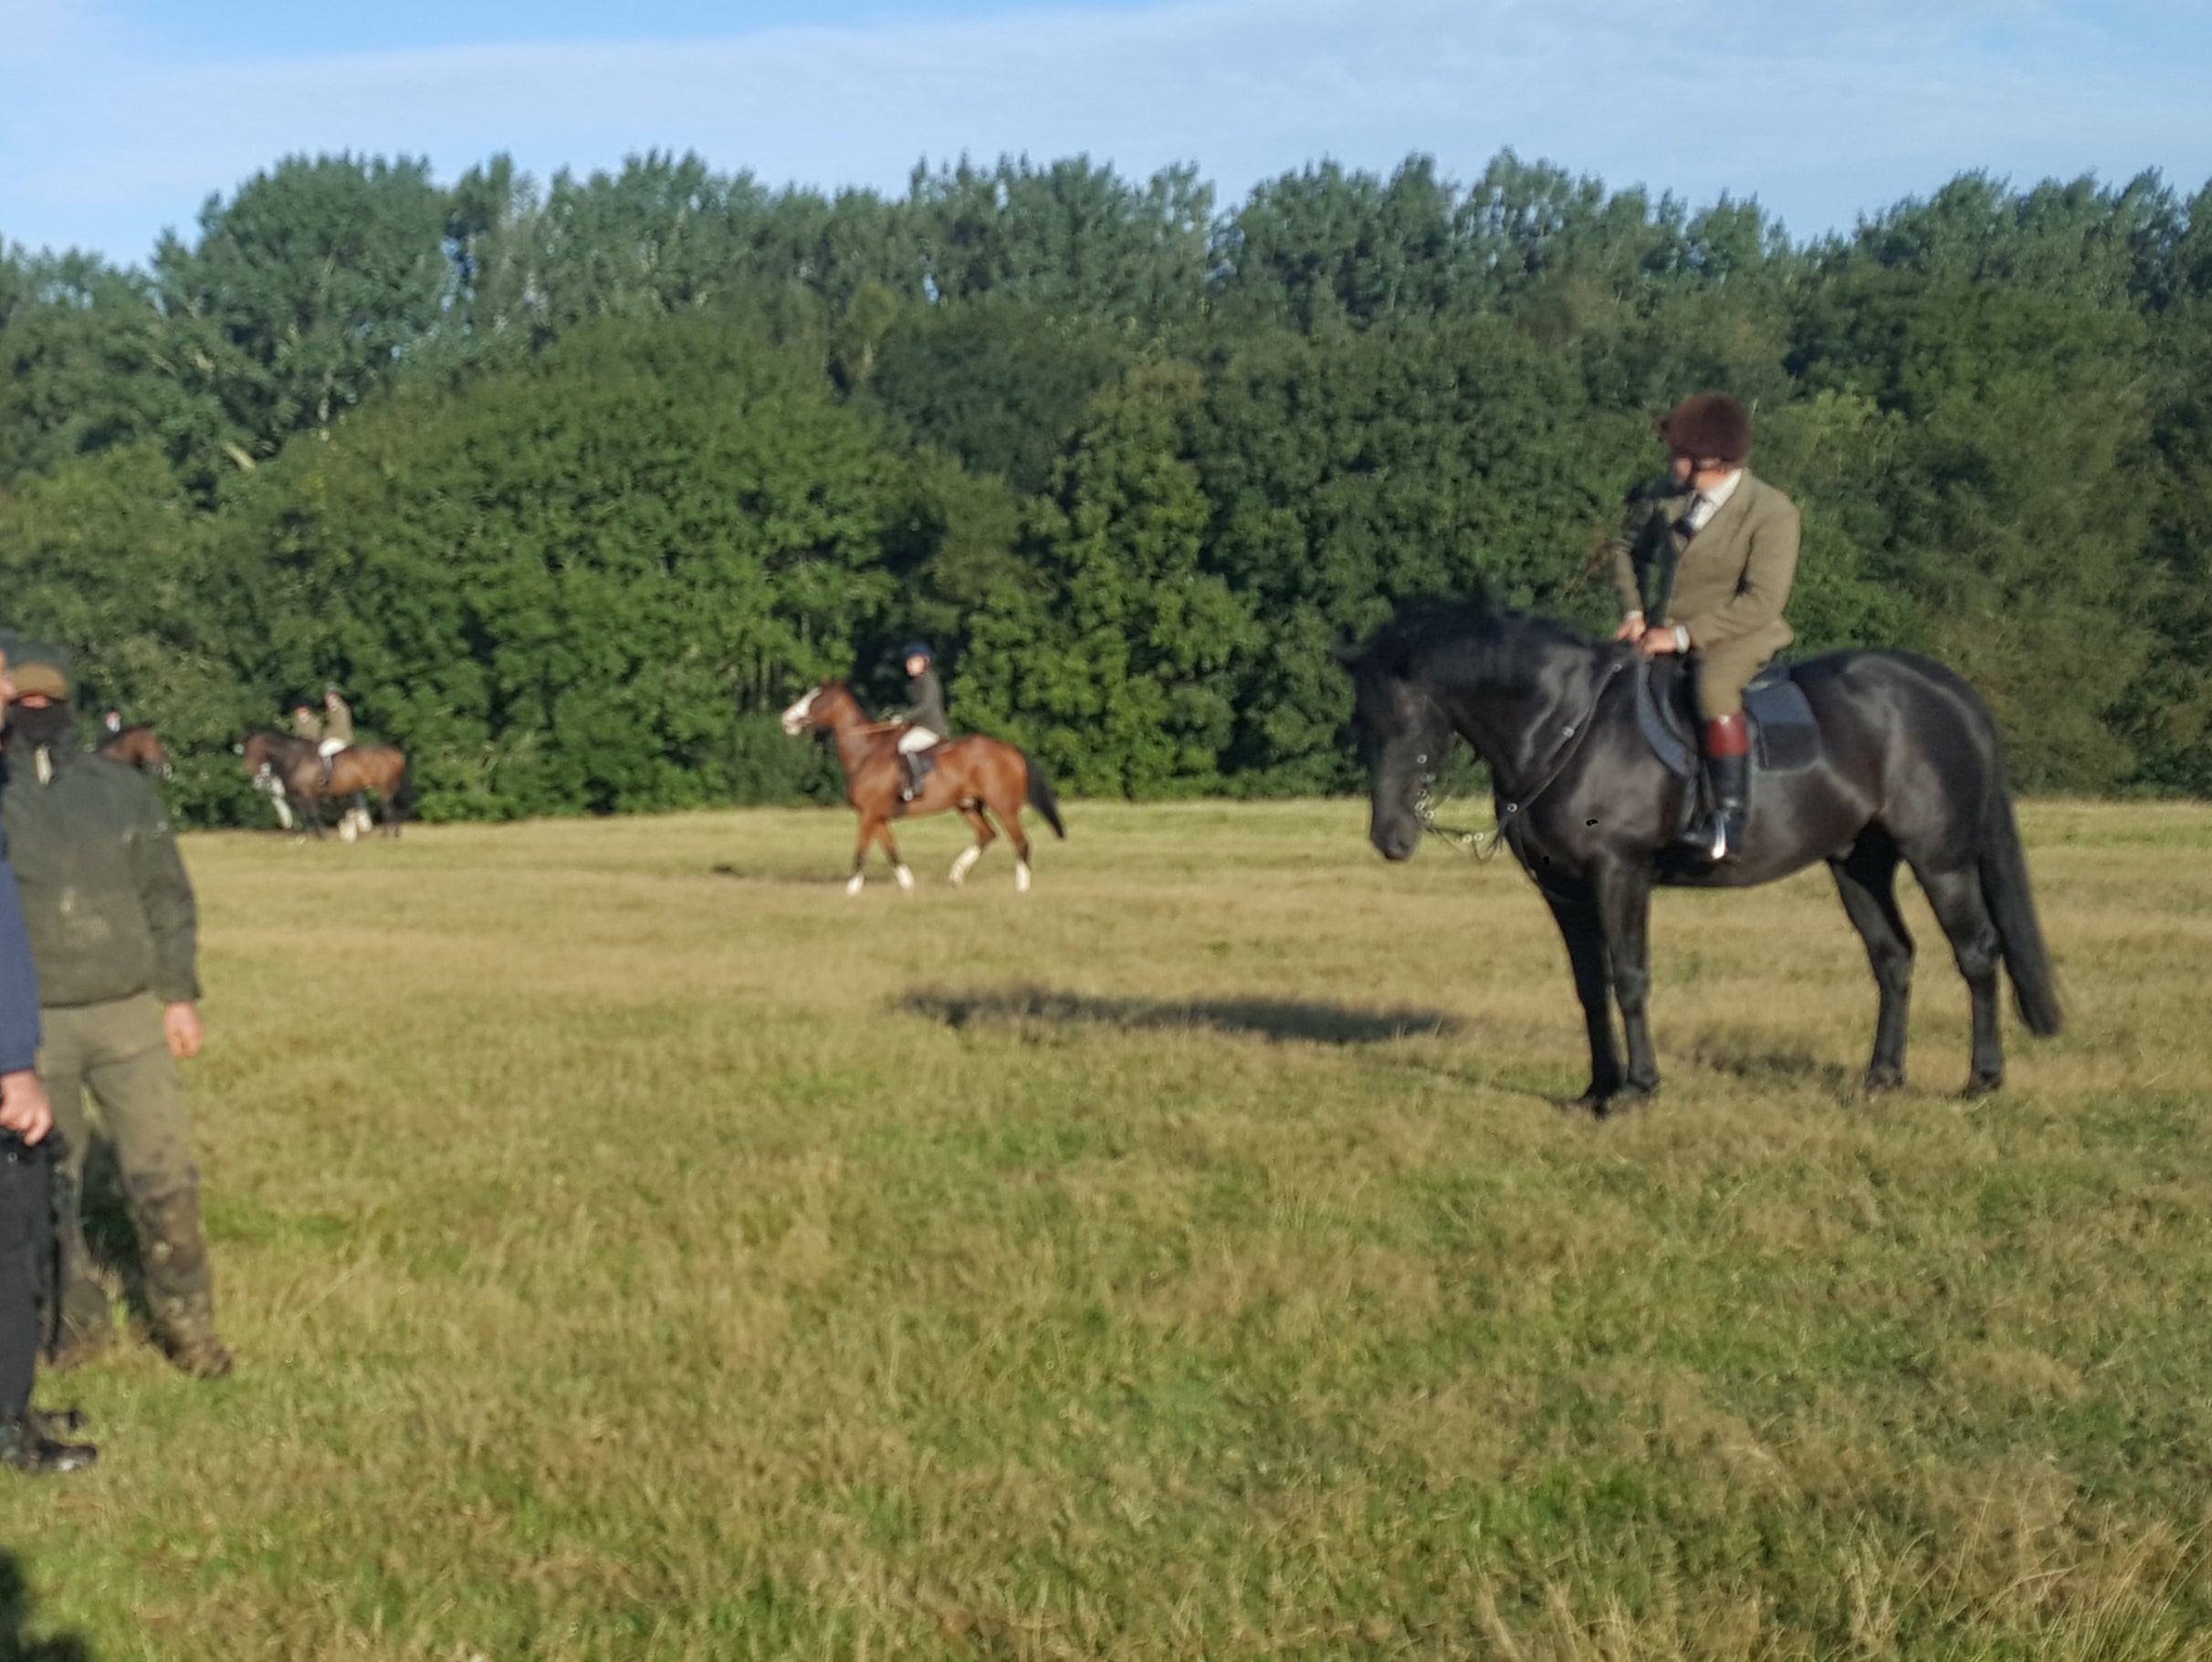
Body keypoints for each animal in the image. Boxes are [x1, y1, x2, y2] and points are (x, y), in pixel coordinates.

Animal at [239, 730, 415, 836]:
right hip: (389, 786)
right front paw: (309, 835)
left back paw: (386, 835)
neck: (294, 757)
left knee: (387, 807)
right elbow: (306, 814)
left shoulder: (307, 794)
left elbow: (313, 813)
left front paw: (321, 836)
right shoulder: (299, 796)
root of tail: (395, 753)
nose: (249, 771)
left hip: (383, 786)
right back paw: (395, 834)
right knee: (393, 807)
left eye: (251, 749)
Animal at [778, 677, 1062, 898]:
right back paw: (957, 875)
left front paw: (852, 889)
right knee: (987, 835)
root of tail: (1011, 749)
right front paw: (908, 884)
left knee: (1021, 842)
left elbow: (861, 850)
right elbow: (892, 851)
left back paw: (1021, 887)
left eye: (817, 698)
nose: (786, 719)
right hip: (968, 805)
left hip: (1003, 806)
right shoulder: (877, 816)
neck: (866, 752)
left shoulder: (869, 814)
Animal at [1336, 597, 2061, 1120]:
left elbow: (1629, 979)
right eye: (1361, 723)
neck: (1567, 728)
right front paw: (1597, 1089)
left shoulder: (1619, 874)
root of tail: (1945, 689)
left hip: (1939, 861)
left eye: (1409, 721)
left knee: (1977, 953)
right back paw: (1882, 1077)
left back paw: (1982, 1081)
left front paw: (1638, 1090)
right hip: (1859, 865)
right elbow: (1589, 986)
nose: (1390, 838)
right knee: (1893, 957)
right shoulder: (1563, 890)